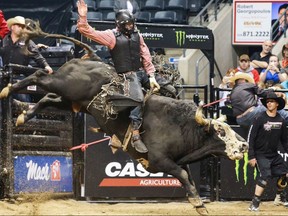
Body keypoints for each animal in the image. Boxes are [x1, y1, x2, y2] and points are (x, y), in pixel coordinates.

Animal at [0, 58, 248, 215]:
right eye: (220, 132)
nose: (245, 145)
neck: (182, 126)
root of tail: (82, 61)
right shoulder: (160, 161)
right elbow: (183, 176)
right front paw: (198, 203)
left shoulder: (178, 161)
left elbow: (188, 178)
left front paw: (199, 203)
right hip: (65, 86)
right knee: (40, 75)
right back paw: (8, 89)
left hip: (73, 101)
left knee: (47, 99)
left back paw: (22, 114)